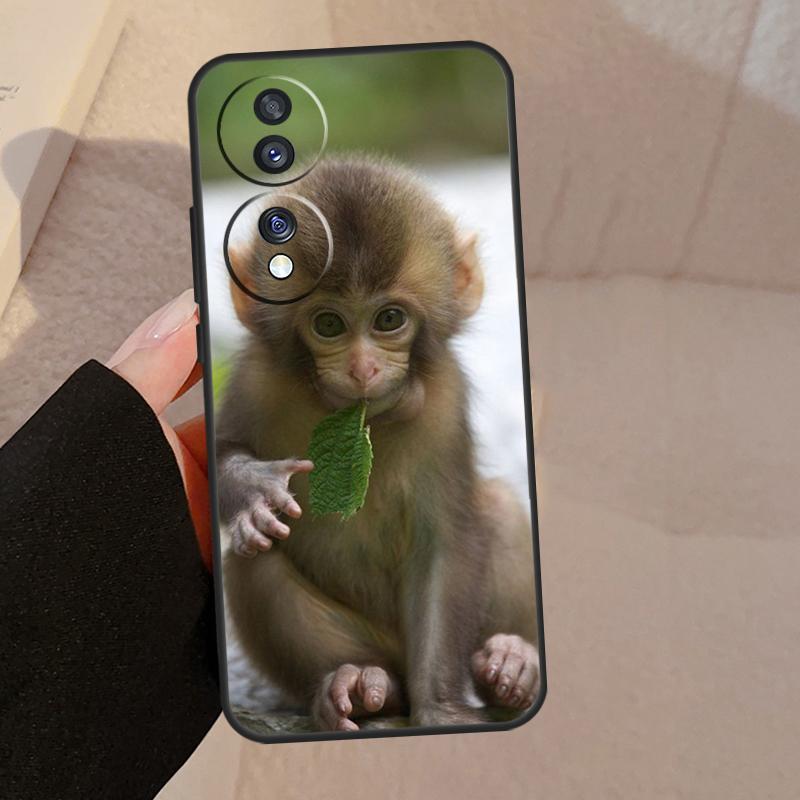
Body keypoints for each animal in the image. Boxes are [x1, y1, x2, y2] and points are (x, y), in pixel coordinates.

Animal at [216, 157, 540, 732]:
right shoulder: (255, 377)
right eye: (328, 323)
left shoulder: (443, 399)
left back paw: (512, 661)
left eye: (389, 319)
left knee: (499, 505)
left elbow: (444, 543)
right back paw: (359, 685)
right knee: (255, 554)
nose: (363, 368)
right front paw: (251, 489)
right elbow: (212, 455)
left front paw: (442, 709)